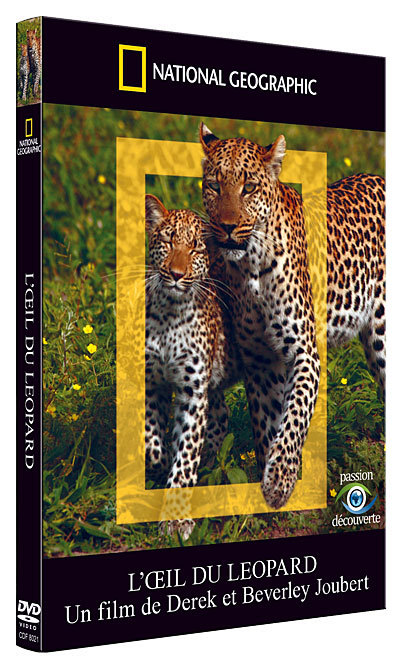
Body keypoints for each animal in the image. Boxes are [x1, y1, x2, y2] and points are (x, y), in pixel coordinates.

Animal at [145, 194, 240, 539]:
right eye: (168, 241)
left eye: (196, 248)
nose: (175, 274)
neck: (169, 314)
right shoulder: (153, 382)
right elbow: (152, 443)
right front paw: (161, 463)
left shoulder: (192, 392)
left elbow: (185, 454)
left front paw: (175, 519)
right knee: (221, 414)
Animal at [199, 122, 385, 510]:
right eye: (214, 186)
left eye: (249, 187)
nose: (227, 226)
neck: (250, 266)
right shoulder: (260, 361)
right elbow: (269, 426)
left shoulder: (303, 353)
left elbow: (294, 417)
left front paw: (280, 481)